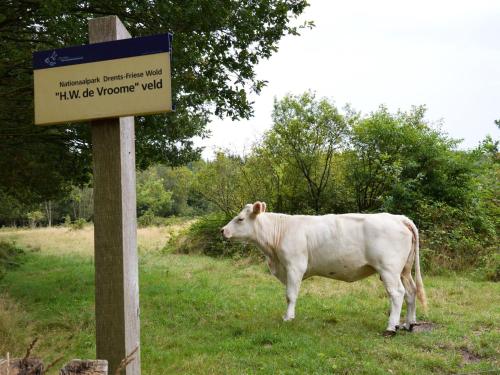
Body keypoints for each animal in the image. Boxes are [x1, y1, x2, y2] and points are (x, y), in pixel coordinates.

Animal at [221, 201, 428, 336]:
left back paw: (391, 327)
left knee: (397, 293)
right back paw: (409, 324)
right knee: (411, 291)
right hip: (404, 270)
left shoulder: (295, 266)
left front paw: (288, 317)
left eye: (240, 219)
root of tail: (399, 218)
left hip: (389, 269)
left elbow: (290, 295)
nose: (222, 230)